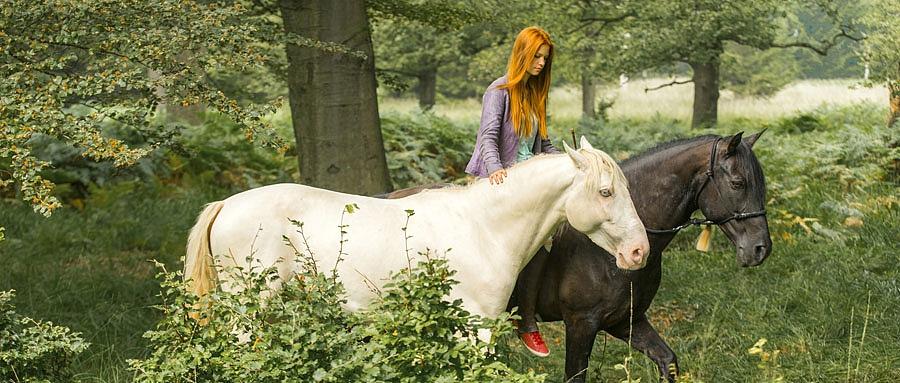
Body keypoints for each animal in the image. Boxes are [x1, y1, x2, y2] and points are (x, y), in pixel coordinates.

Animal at [382, 133, 772, 383]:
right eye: (738, 183)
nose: (760, 249)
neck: (609, 249)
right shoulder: (582, 324)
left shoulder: (626, 322)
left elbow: (668, 362)